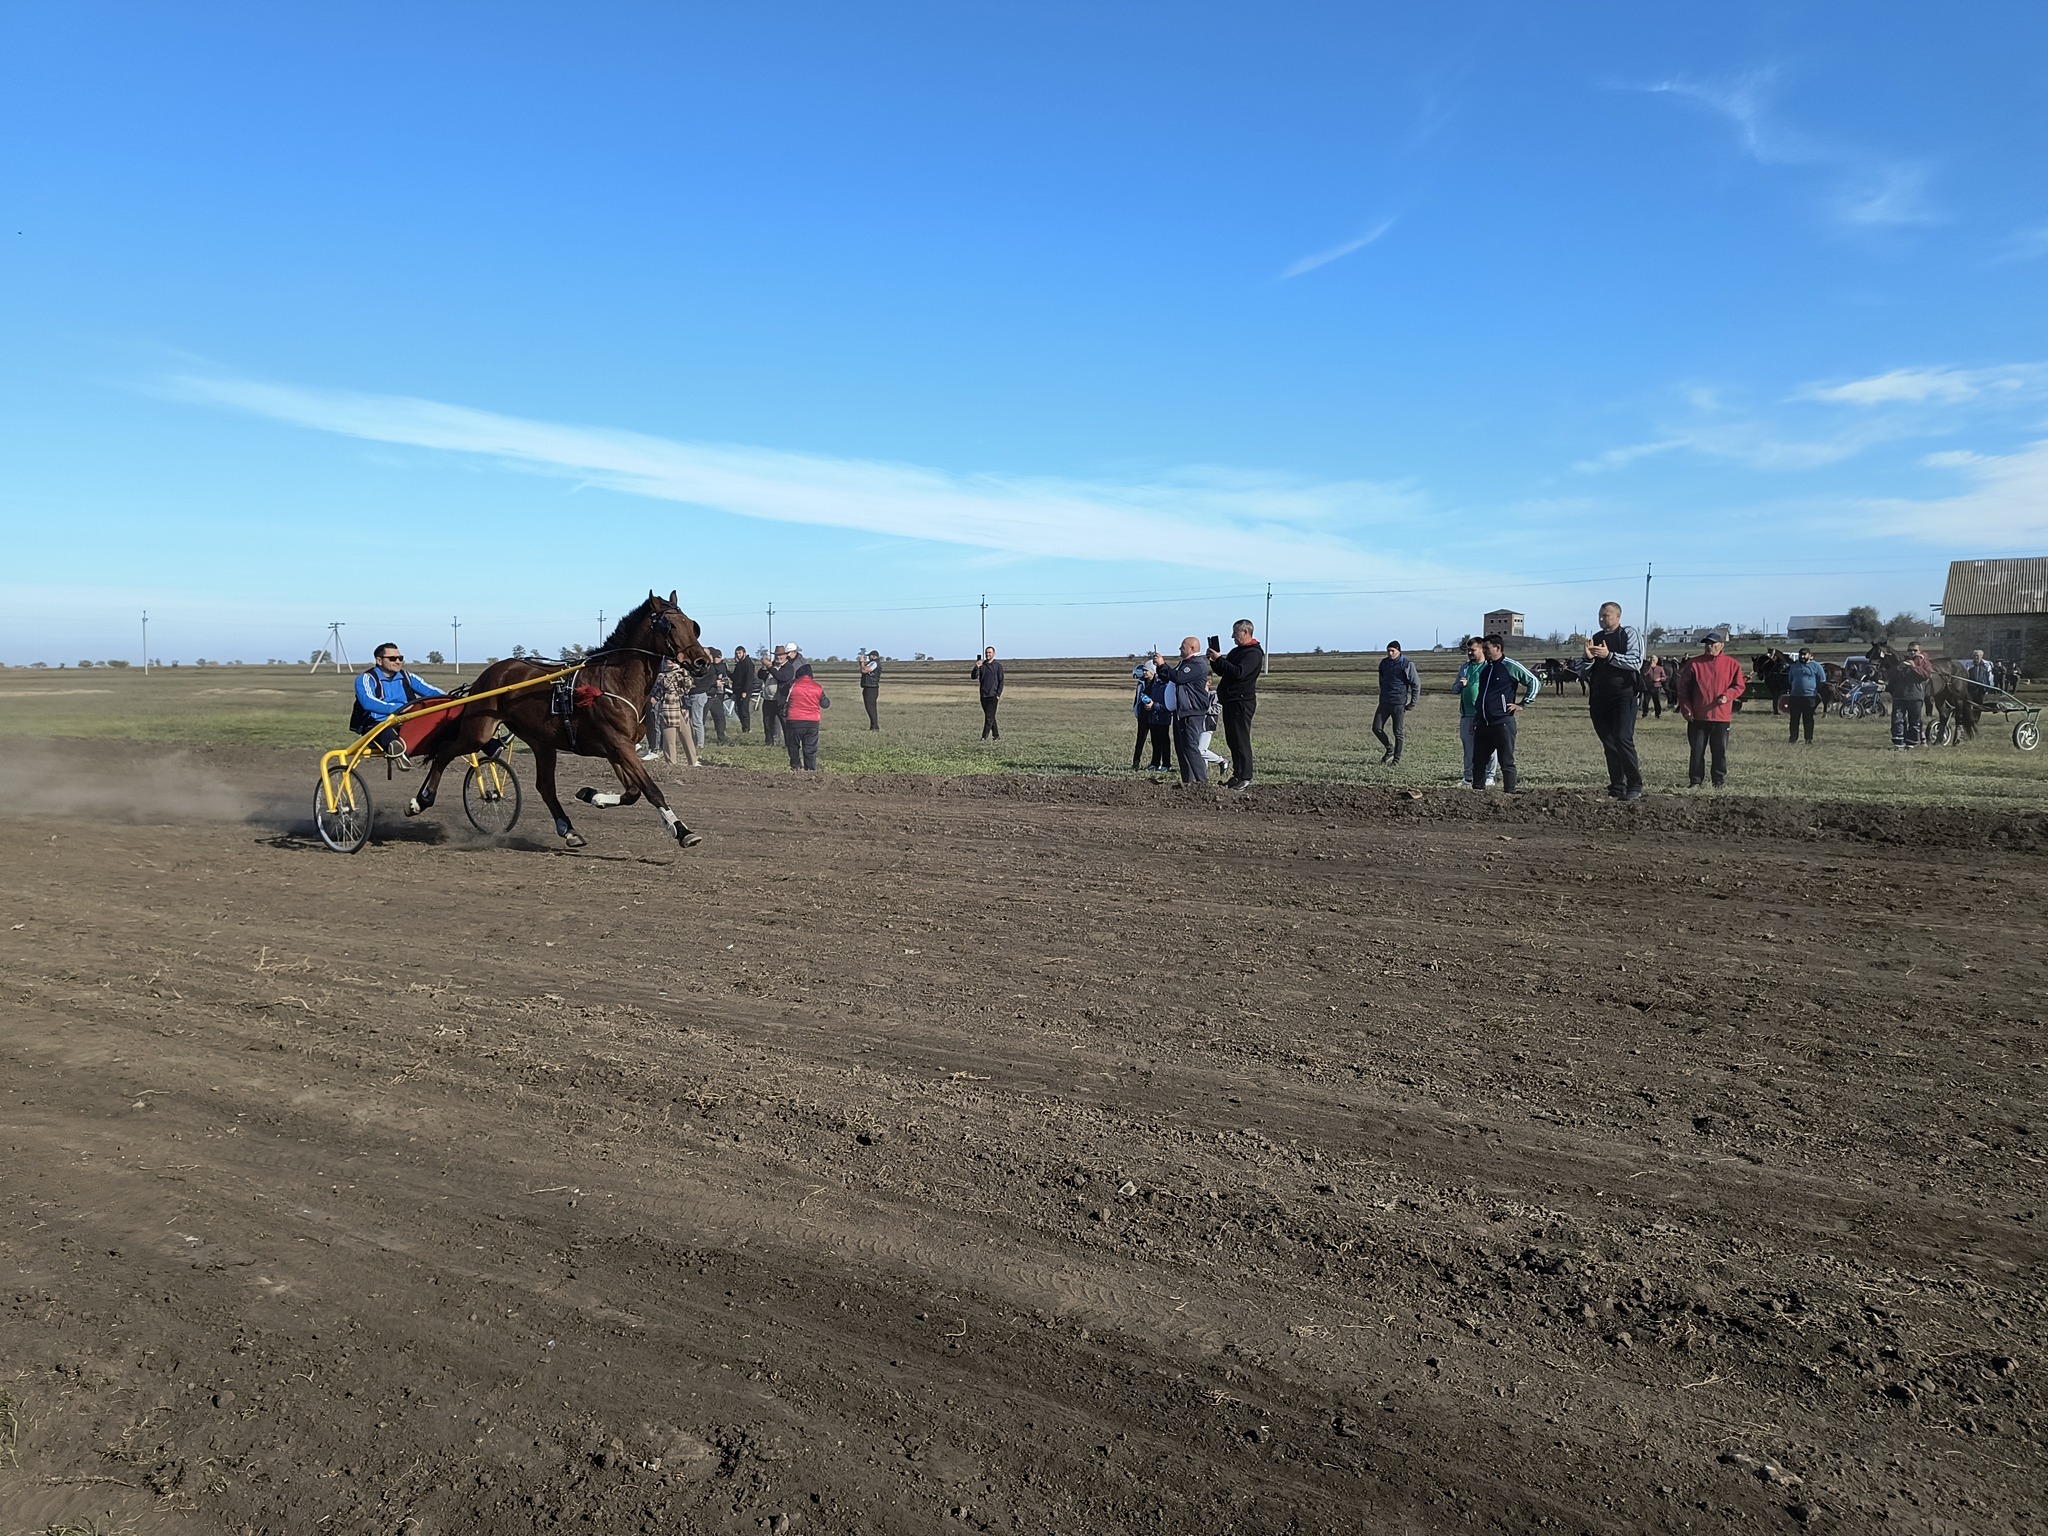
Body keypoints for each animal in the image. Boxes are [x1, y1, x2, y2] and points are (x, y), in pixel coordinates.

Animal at [403, 593, 716, 856]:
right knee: (444, 753)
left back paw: (569, 829)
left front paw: (592, 795)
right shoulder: (618, 744)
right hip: (479, 731)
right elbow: (650, 789)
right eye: (669, 625)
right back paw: (420, 801)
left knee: (545, 787)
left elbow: (632, 792)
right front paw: (682, 831)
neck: (616, 681)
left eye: (693, 625)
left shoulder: (618, 748)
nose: (702, 661)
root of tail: (491, 673)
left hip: (542, 742)